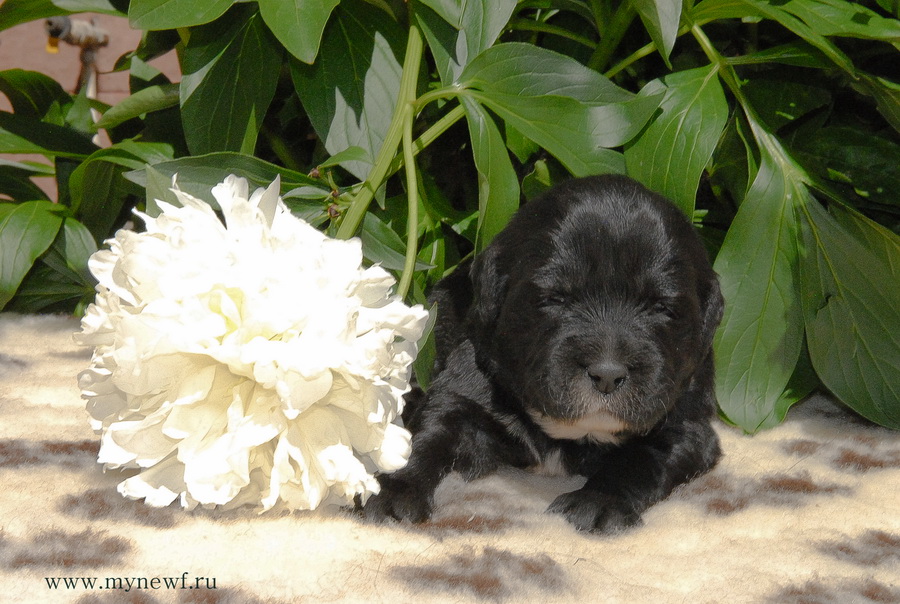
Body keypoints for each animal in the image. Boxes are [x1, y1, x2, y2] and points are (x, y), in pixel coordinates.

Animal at [363, 175, 724, 533]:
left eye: (661, 307)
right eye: (555, 299)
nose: (607, 374)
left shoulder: (685, 425)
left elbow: (640, 459)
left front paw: (598, 501)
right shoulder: (462, 393)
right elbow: (425, 438)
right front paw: (393, 490)